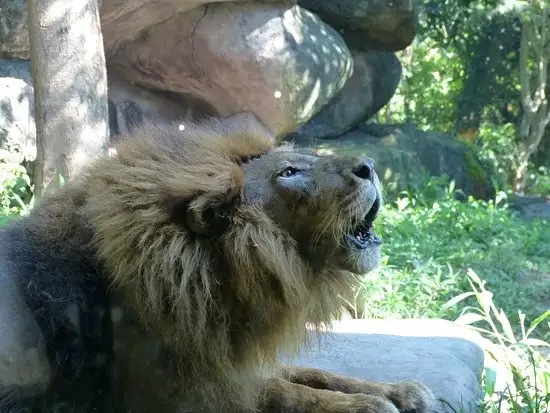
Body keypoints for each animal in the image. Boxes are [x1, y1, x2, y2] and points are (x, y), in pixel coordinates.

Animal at [0, 112, 436, 412]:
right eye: (289, 172)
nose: (370, 166)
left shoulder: (231, 357)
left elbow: (311, 373)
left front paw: (398, 390)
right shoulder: (191, 394)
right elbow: (283, 391)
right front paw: (367, 405)